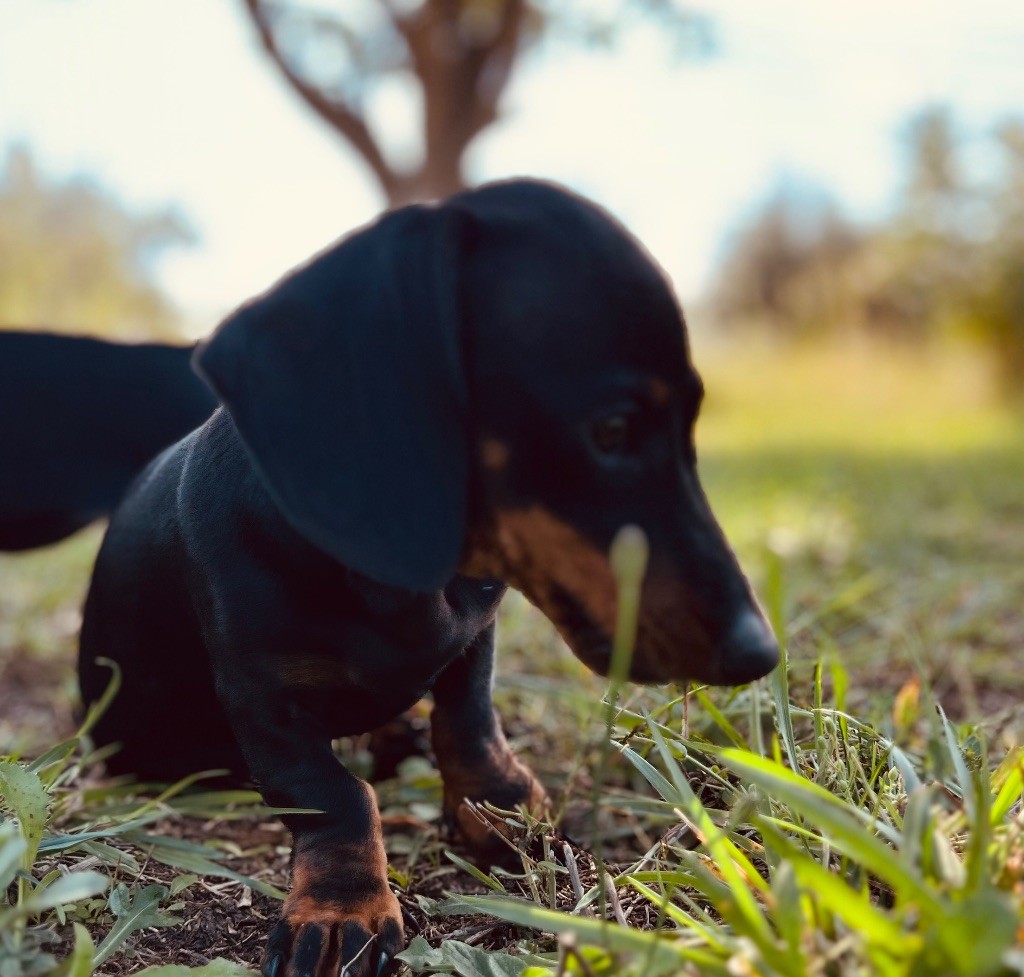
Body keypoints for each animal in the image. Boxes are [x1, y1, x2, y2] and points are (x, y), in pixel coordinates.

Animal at [79, 181, 778, 974]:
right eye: (611, 430)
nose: (759, 652)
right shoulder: (262, 701)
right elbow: (333, 793)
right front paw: (341, 907)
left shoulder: (474, 634)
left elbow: (469, 725)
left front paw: (506, 815)